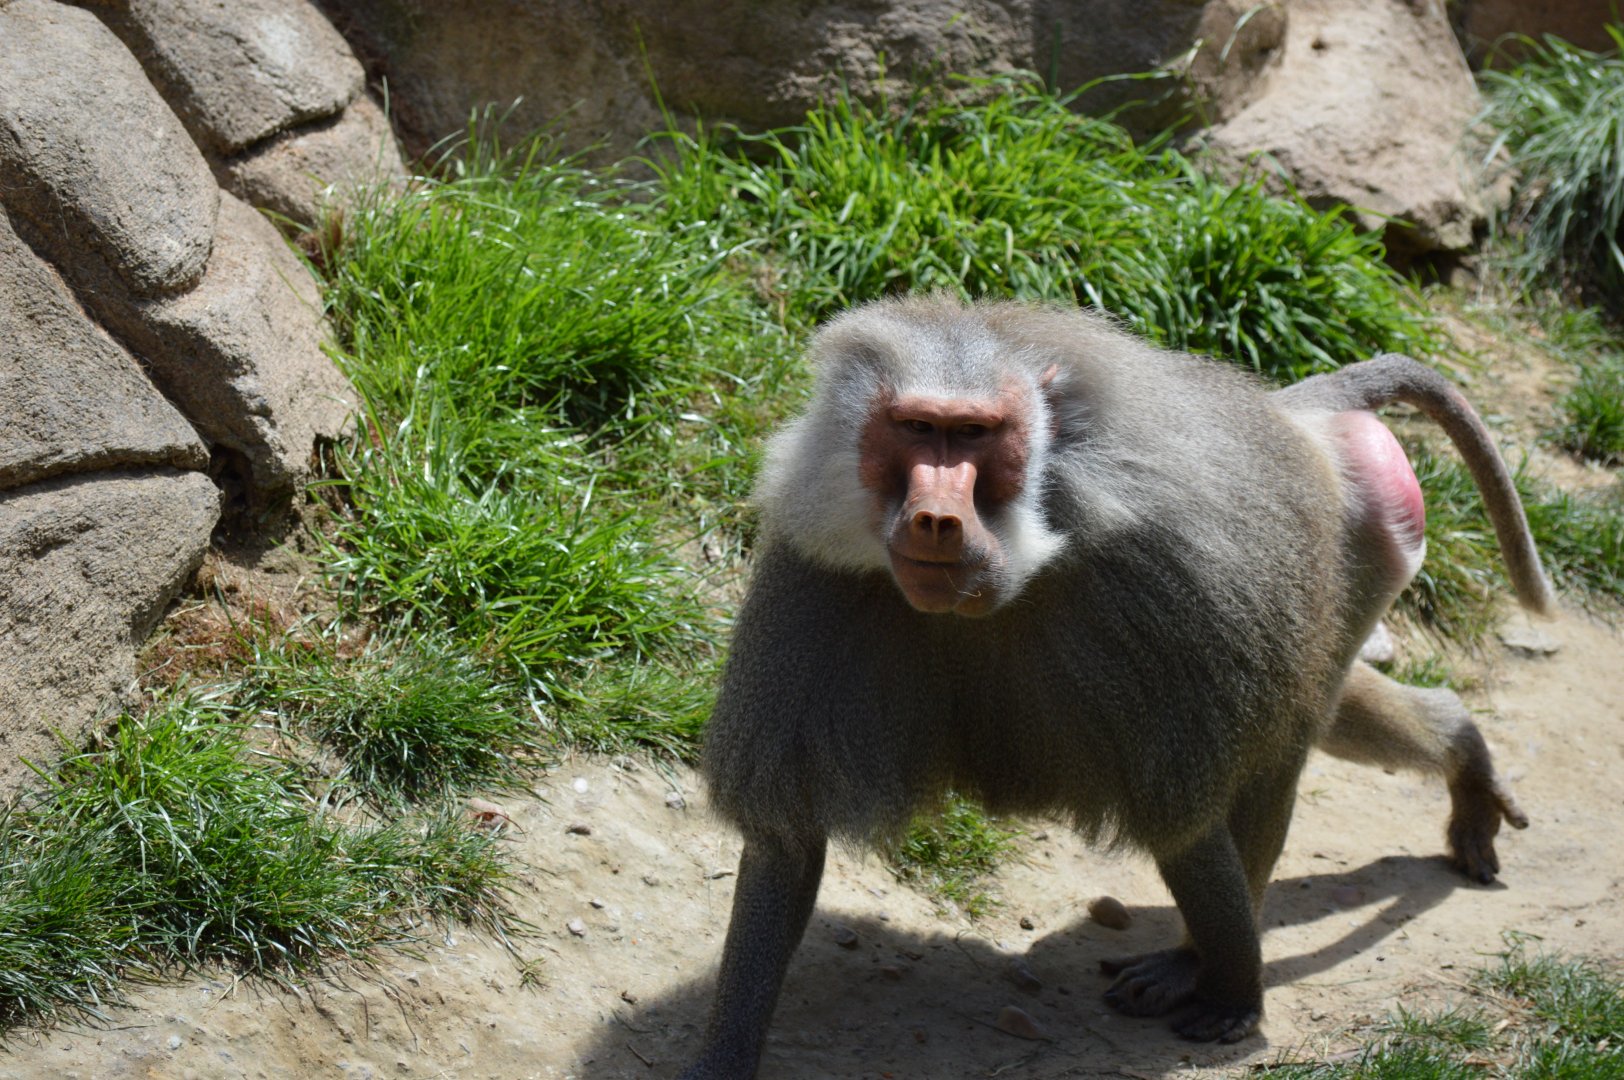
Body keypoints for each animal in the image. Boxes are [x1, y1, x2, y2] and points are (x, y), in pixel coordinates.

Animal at [679, 296, 1550, 1079]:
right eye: (916, 428)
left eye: (976, 435)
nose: (933, 519)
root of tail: (1294, 413)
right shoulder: (816, 580)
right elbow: (787, 846)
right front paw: (722, 1055)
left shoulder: (1163, 593)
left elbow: (1185, 823)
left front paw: (1237, 996)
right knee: (1323, 715)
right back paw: (1464, 751)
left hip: (1348, 547)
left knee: (1277, 755)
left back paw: (1199, 961)